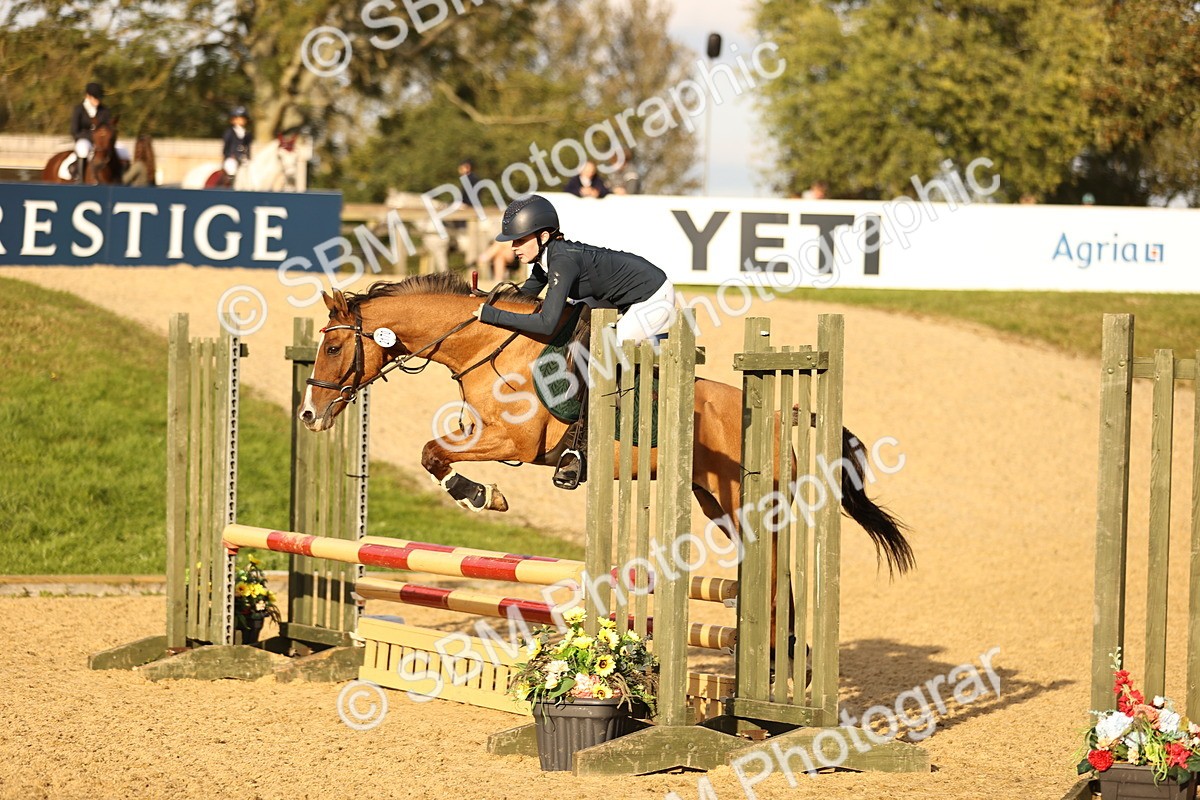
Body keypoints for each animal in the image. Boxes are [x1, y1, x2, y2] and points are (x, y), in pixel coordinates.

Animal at [297, 276, 915, 583]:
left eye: (334, 348)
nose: (308, 415)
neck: (486, 346)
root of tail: (776, 412)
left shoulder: (514, 441)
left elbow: (432, 453)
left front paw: (481, 496)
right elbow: (432, 452)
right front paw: (480, 495)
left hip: (751, 502)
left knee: (776, 562)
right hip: (715, 502)